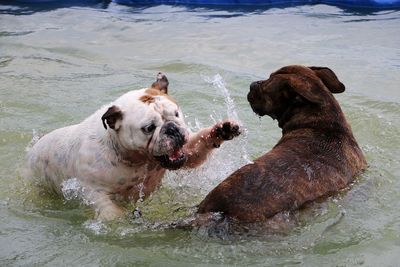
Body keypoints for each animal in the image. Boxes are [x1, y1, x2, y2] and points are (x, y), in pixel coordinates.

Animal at [28, 74, 241, 222]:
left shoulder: (186, 153)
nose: (171, 128)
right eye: (149, 128)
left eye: (176, 113)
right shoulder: (91, 189)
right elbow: (108, 208)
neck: (135, 158)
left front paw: (221, 130)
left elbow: (196, 148)